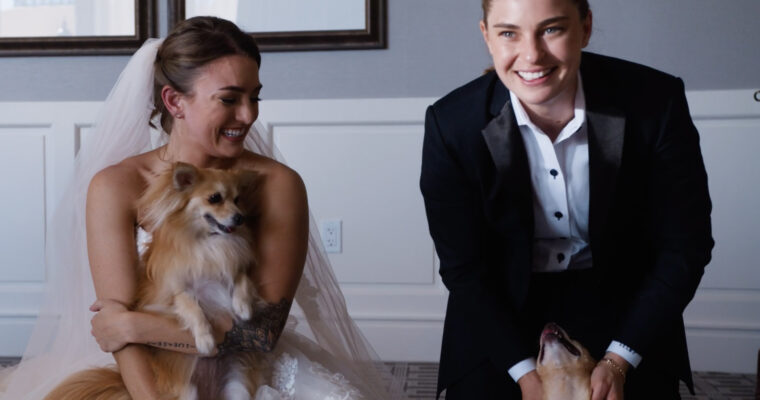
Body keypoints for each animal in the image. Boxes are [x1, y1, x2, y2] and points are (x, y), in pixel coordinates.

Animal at [46, 162, 264, 400]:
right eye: (215, 198)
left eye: (238, 200)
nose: (240, 217)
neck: (210, 241)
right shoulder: (175, 290)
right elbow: (192, 307)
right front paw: (205, 339)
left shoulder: (233, 267)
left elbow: (241, 279)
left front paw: (244, 306)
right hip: (188, 392)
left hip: (238, 387)